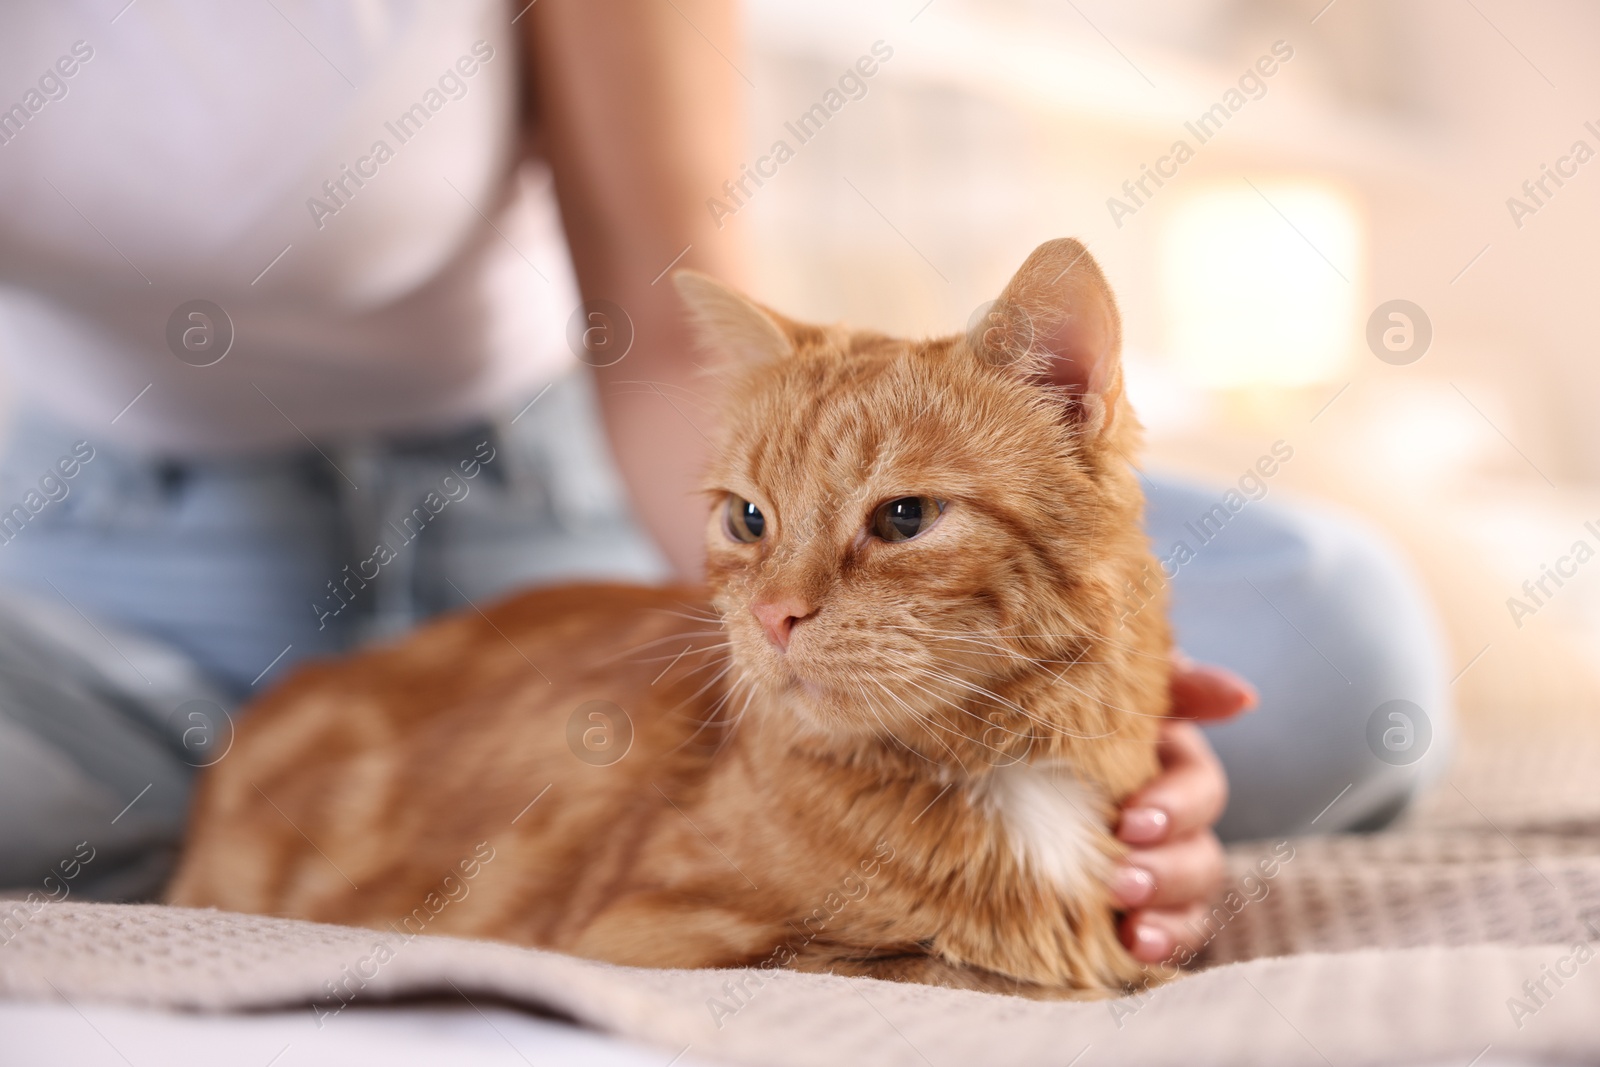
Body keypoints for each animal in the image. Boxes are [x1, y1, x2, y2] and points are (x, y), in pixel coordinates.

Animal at [172, 241, 1177, 1004]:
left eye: (904, 518)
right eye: (749, 519)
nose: (773, 614)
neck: (1009, 781)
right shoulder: (658, 941)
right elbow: (965, 968)